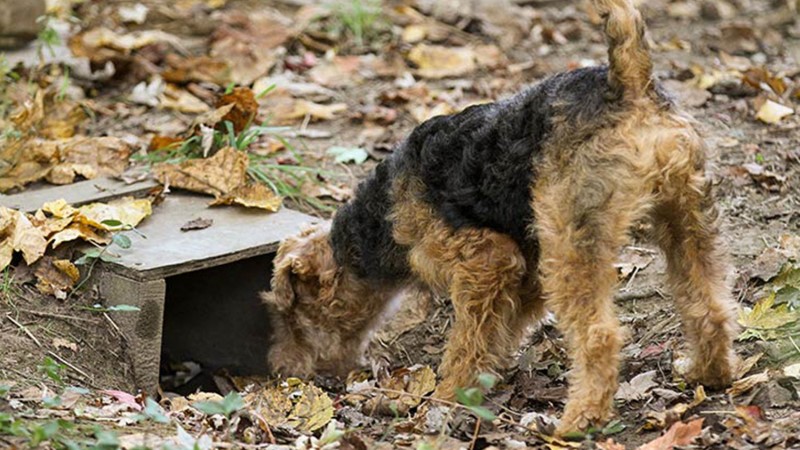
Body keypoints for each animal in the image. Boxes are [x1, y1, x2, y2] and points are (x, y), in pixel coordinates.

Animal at [262, 0, 736, 432]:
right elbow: (497, 332)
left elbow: (465, 345)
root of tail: (630, 84)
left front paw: (445, 398)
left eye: (294, 314)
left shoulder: (483, 261)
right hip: (687, 216)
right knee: (707, 306)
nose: (282, 370)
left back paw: (578, 419)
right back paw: (708, 373)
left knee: (599, 335)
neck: (379, 220)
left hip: (574, 240)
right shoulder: (523, 272)